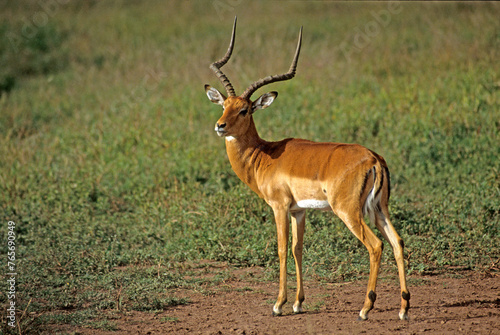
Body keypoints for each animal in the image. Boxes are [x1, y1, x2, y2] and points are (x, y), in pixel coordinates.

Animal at [204, 17, 410, 320]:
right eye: (224, 105)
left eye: (245, 110)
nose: (220, 126)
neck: (264, 155)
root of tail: (373, 159)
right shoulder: (298, 210)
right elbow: (297, 249)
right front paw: (298, 303)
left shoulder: (278, 207)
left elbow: (280, 249)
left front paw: (278, 304)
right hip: (379, 209)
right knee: (397, 242)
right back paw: (404, 308)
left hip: (349, 211)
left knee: (376, 245)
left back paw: (365, 308)